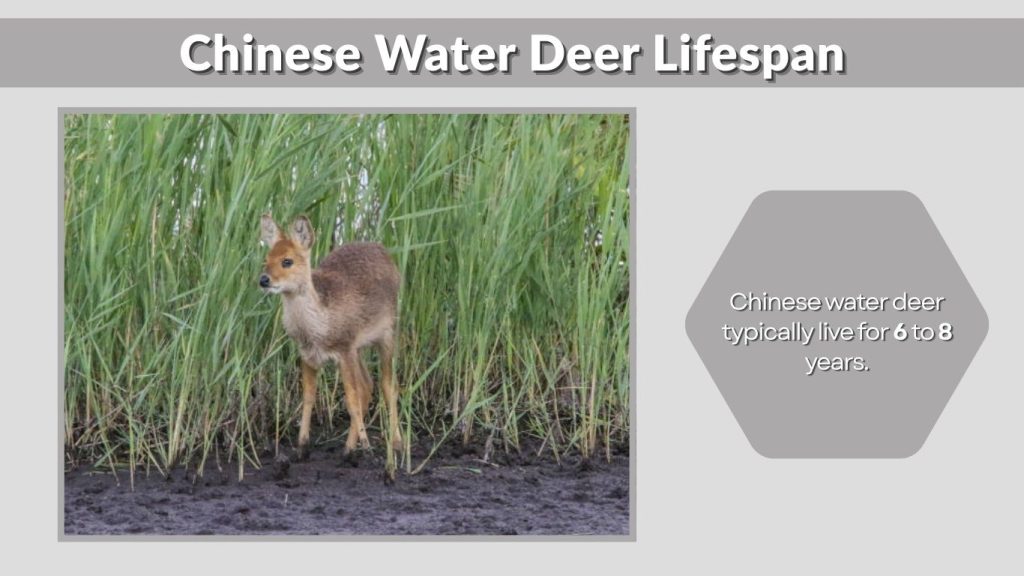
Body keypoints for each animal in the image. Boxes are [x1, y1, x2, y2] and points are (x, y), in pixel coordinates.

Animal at [259, 214, 401, 463]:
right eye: (266, 259)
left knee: (387, 385)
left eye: (287, 261)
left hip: (386, 335)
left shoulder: (344, 349)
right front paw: (302, 447)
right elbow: (308, 397)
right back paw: (348, 448)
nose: (264, 280)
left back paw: (396, 444)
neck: (319, 326)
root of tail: (383, 250)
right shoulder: (308, 354)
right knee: (368, 385)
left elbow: (351, 399)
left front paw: (367, 448)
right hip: (359, 349)